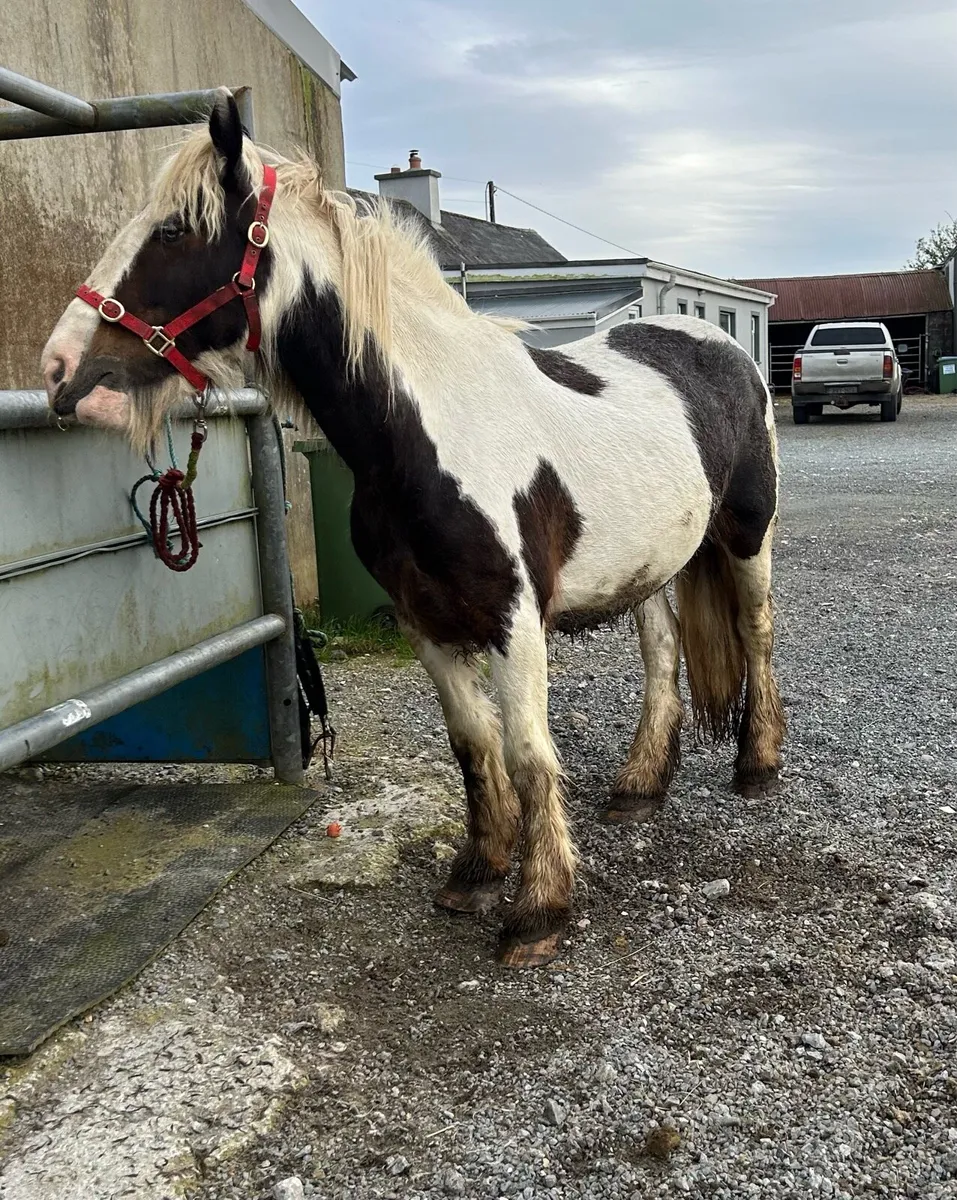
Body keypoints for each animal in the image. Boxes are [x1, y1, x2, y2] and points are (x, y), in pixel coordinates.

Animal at [41, 91, 785, 969]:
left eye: (173, 231)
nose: (61, 372)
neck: (426, 431)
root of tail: (715, 340)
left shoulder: (513, 621)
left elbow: (528, 754)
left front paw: (538, 909)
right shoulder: (425, 621)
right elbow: (472, 745)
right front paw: (477, 871)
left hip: (746, 537)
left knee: (755, 634)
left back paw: (756, 766)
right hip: (647, 563)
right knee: (662, 652)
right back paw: (639, 788)